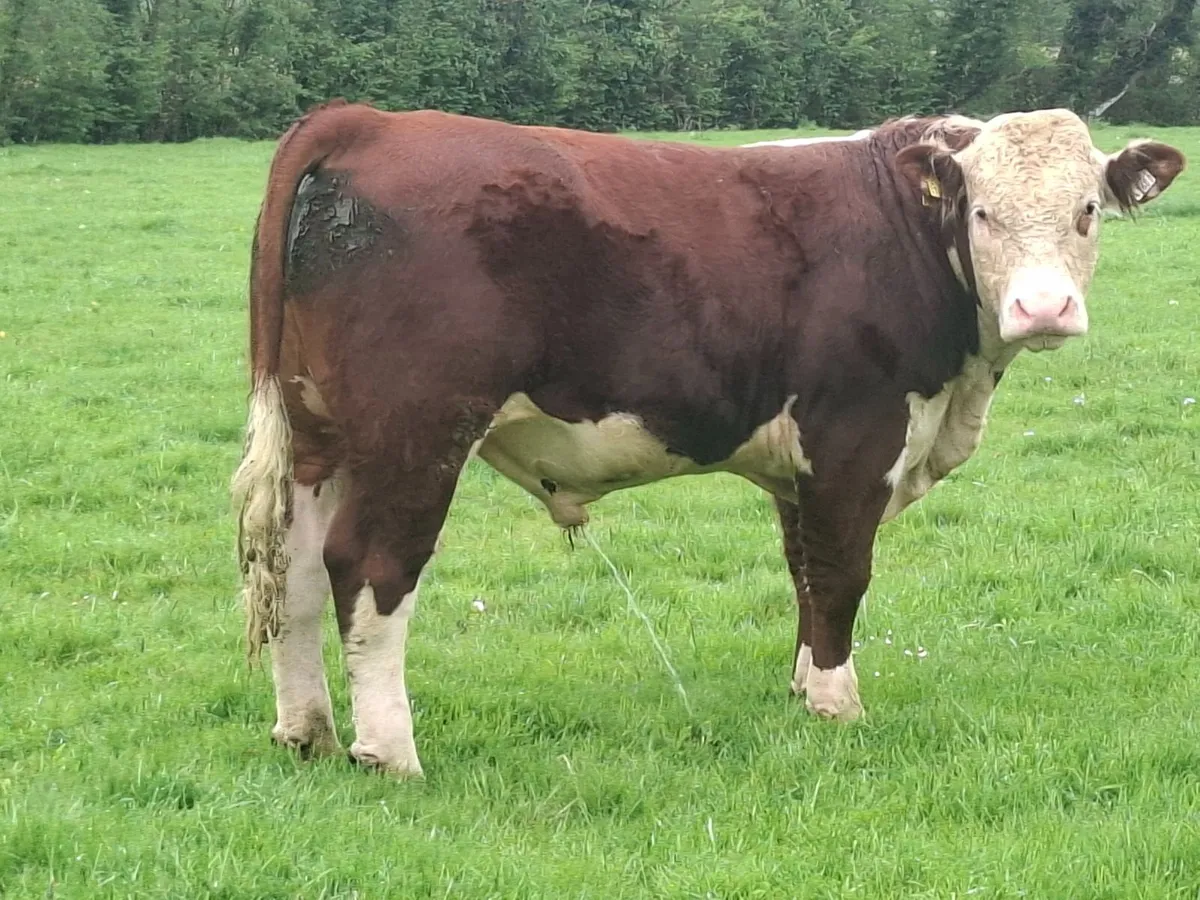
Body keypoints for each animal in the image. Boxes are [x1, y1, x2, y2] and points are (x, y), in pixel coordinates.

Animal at [232, 100, 1184, 776]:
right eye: (981, 213)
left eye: (1088, 210)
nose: (1043, 309)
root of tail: (373, 120)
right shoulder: (855, 437)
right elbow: (844, 574)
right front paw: (839, 706)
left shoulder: (802, 465)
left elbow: (806, 573)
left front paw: (802, 690)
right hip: (417, 432)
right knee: (372, 569)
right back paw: (389, 752)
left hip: (322, 433)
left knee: (294, 568)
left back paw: (306, 731)